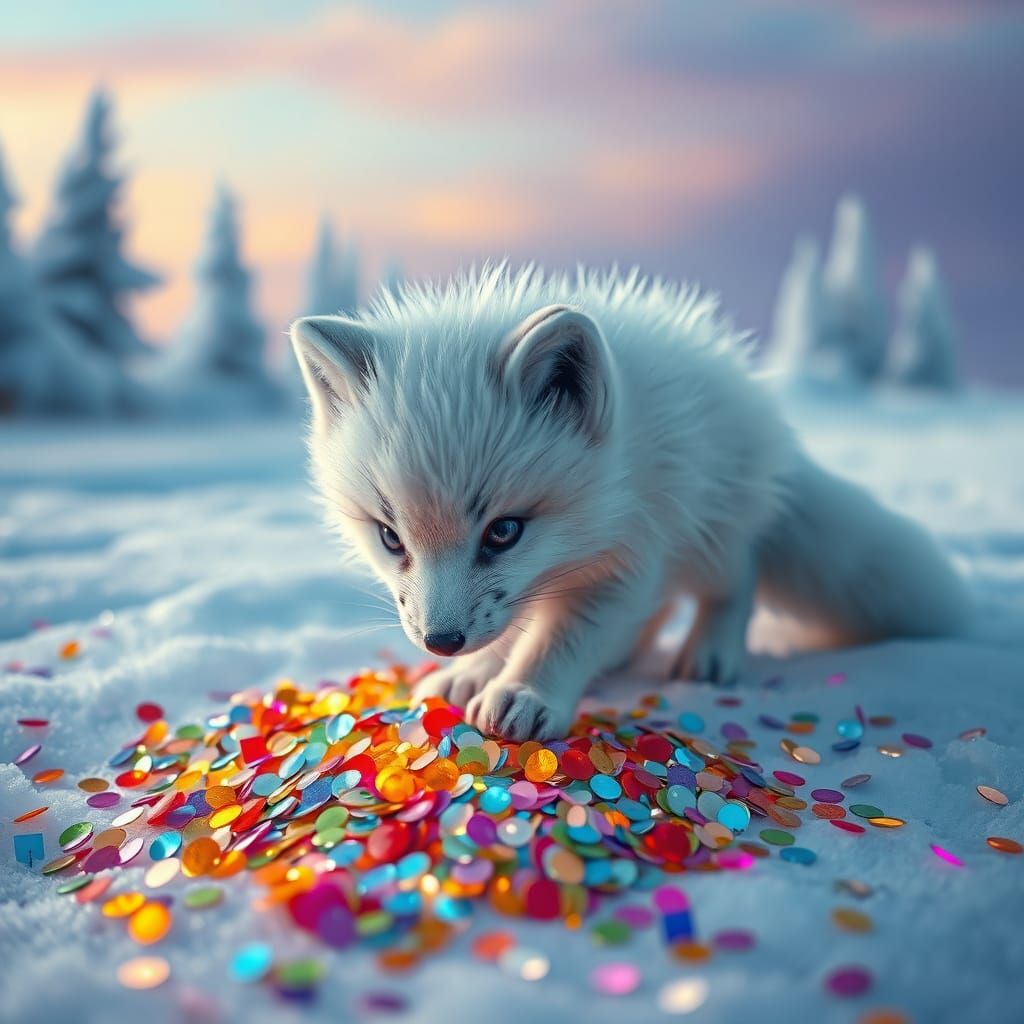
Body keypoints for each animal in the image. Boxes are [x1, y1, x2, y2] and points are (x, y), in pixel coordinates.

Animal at [290, 264, 970, 741]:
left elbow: (562, 639)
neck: (616, 483)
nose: (440, 642)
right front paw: (475, 673)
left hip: (708, 532)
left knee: (736, 578)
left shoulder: (629, 555)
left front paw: (526, 694)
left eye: (503, 531)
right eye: (391, 537)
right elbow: (527, 629)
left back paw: (711, 651)